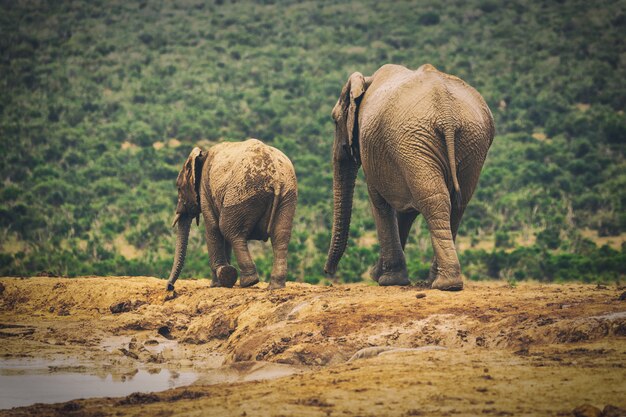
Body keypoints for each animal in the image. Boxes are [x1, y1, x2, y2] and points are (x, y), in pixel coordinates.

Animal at [166, 139, 298, 290]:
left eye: (178, 188)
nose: (170, 287)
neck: (202, 156)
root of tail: (275, 178)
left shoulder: (205, 188)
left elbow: (213, 228)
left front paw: (217, 284)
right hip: (287, 194)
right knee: (280, 236)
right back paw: (275, 287)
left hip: (242, 193)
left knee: (230, 231)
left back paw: (248, 282)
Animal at [322, 64, 492, 290]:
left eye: (335, 120)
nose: (327, 271)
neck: (367, 80)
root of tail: (446, 113)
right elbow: (406, 209)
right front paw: (381, 275)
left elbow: (379, 200)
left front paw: (387, 280)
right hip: (468, 141)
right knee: (457, 203)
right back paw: (440, 281)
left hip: (417, 139)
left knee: (434, 200)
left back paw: (446, 283)